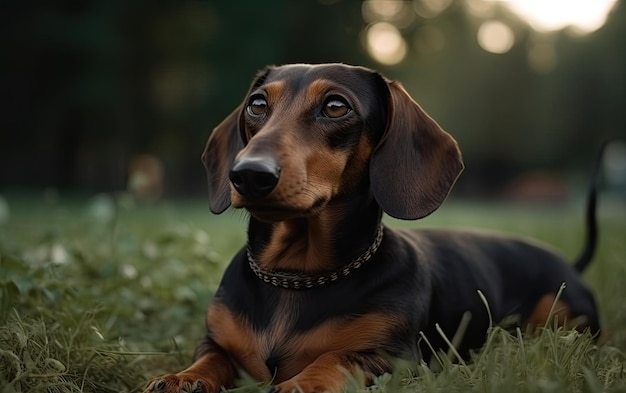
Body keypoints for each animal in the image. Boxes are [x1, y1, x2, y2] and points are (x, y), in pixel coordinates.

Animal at [143, 62, 600, 390]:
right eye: (257, 104)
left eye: (335, 106)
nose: (249, 175)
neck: (294, 277)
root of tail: (569, 263)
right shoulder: (217, 340)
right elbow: (211, 358)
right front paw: (180, 379)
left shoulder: (394, 356)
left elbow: (335, 359)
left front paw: (298, 385)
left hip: (564, 316)